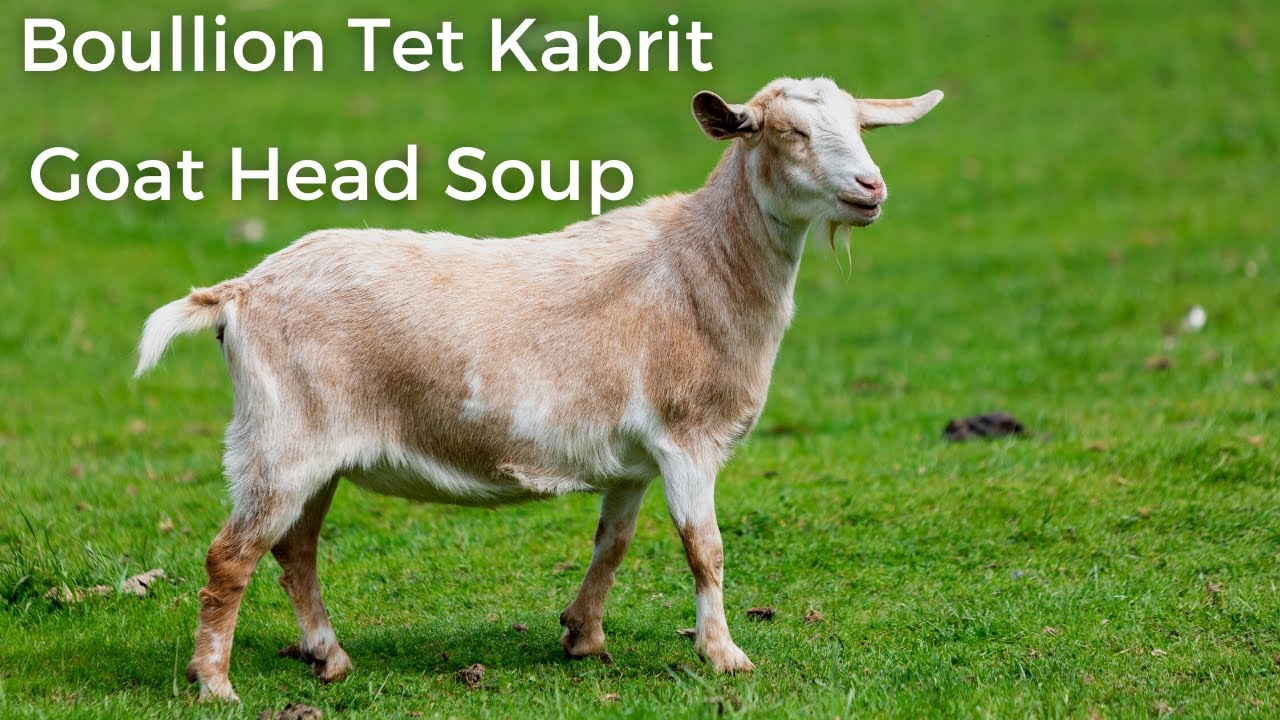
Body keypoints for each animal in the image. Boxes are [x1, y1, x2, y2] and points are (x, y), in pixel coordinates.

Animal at [135, 77, 942, 702]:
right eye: (787, 133)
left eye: (860, 125)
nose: (871, 188)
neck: (701, 267)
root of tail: (239, 292)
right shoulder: (687, 437)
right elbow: (703, 548)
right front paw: (724, 655)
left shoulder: (635, 458)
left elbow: (613, 543)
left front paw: (583, 636)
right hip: (282, 441)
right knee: (230, 557)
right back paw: (215, 683)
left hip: (312, 450)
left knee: (294, 551)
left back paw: (328, 658)